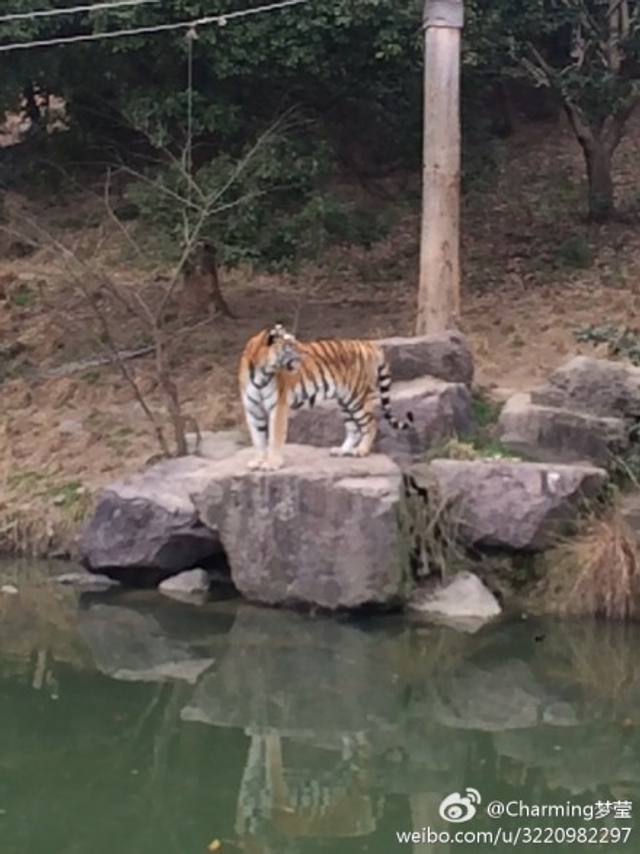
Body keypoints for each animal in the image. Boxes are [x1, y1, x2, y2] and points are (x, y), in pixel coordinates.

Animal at [238, 322, 414, 471]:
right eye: (290, 344)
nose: (305, 352)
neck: (261, 373)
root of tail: (369, 343)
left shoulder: (278, 407)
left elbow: (274, 437)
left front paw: (272, 463)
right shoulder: (253, 410)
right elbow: (258, 438)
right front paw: (258, 461)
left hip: (358, 398)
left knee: (371, 424)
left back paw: (361, 451)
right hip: (345, 400)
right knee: (354, 428)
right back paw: (342, 450)